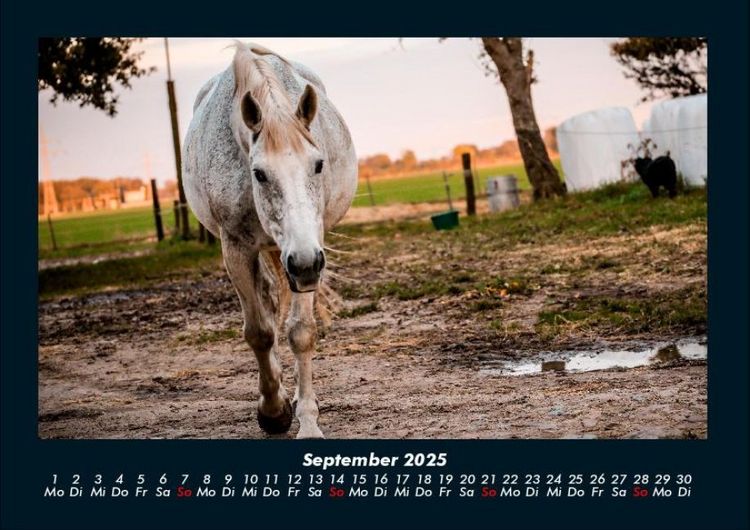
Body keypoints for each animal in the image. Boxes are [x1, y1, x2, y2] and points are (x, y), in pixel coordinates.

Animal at [182, 42, 358, 438]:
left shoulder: (310, 251)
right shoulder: (236, 248)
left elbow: (301, 332)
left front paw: (307, 420)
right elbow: (260, 332)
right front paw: (274, 411)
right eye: (259, 173)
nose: (305, 263)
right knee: (265, 301)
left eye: (318, 164)